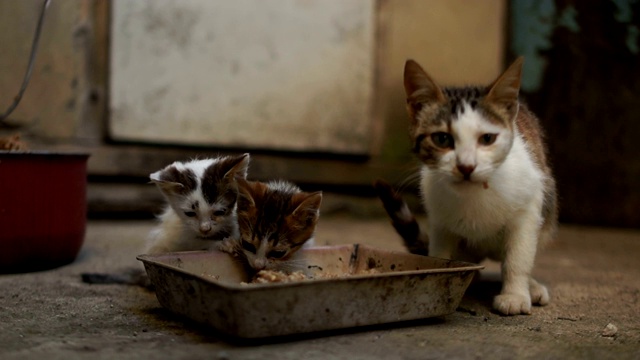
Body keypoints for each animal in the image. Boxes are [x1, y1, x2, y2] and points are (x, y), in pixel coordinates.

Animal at [376, 57, 556, 316]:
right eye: (442, 139)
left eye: (487, 139)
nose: (466, 167)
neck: (474, 194)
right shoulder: (439, 217)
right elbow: (437, 258)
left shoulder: (529, 206)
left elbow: (518, 257)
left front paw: (515, 295)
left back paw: (531, 286)